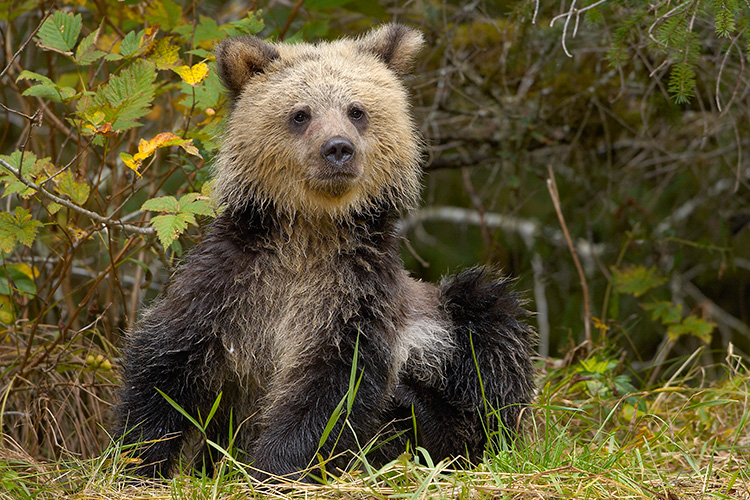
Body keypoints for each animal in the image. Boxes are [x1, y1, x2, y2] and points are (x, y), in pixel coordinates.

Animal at [115, 23, 535, 481]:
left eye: (357, 111)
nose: (338, 148)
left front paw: (274, 467)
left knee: (490, 329)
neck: (310, 233)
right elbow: (167, 363)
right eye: (301, 114)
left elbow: (334, 385)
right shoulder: (229, 282)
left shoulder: (355, 293)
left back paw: (435, 420)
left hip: (445, 319)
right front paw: (135, 457)